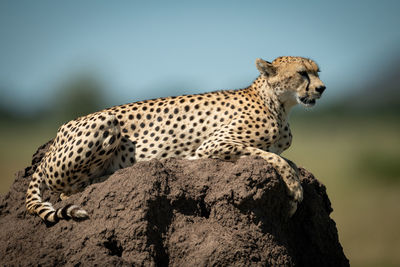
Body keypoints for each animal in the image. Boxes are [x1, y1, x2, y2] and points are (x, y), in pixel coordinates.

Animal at [25, 57, 326, 226]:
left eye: (317, 72)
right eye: (302, 73)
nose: (322, 88)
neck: (279, 103)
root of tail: (56, 136)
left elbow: (288, 160)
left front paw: (296, 186)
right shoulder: (211, 146)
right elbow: (275, 158)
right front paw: (295, 193)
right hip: (105, 121)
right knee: (67, 191)